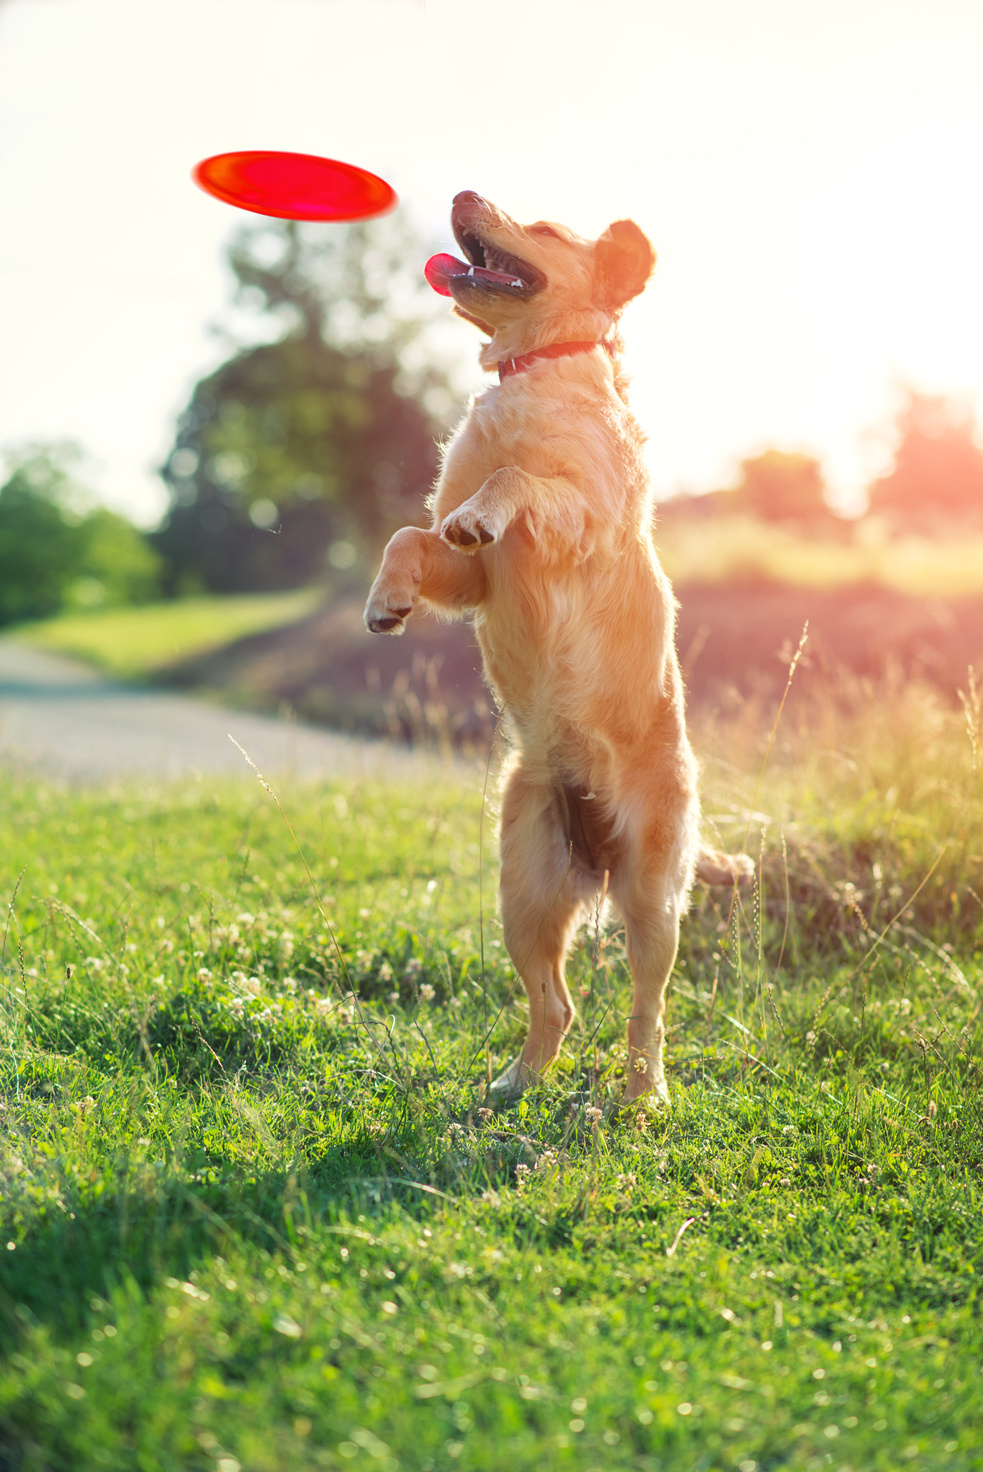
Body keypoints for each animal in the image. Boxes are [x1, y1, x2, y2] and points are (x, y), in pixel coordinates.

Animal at [366, 192, 744, 1106]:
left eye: (539, 229)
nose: (461, 193)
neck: (532, 371)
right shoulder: (470, 576)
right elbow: (411, 534)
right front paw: (385, 599)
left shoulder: (578, 516)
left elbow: (517, 483)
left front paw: (488, 506)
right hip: (525, 890)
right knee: (557, 1005)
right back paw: (514, 1082)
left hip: (651, 898)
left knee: (647, 1012)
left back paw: (643, 1097)